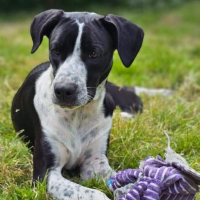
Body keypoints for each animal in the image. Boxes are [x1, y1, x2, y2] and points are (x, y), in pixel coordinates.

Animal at [11, 9, 144, 200]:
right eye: (55, 50)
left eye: (94, 53)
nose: (63, 90)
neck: (78, 115)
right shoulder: (46, 173)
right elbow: (93, 193)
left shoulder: (95, 162)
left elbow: (124, 180)